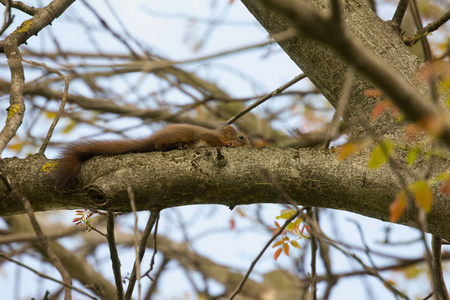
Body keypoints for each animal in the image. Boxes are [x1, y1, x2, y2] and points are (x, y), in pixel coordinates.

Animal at [53, 123, 250, 186]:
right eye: (241, 136)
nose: (248, 144)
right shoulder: (208, 136)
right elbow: (216, 142)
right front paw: (230, 144)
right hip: (182, 134)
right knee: (159, 146)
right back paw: (177, 146)